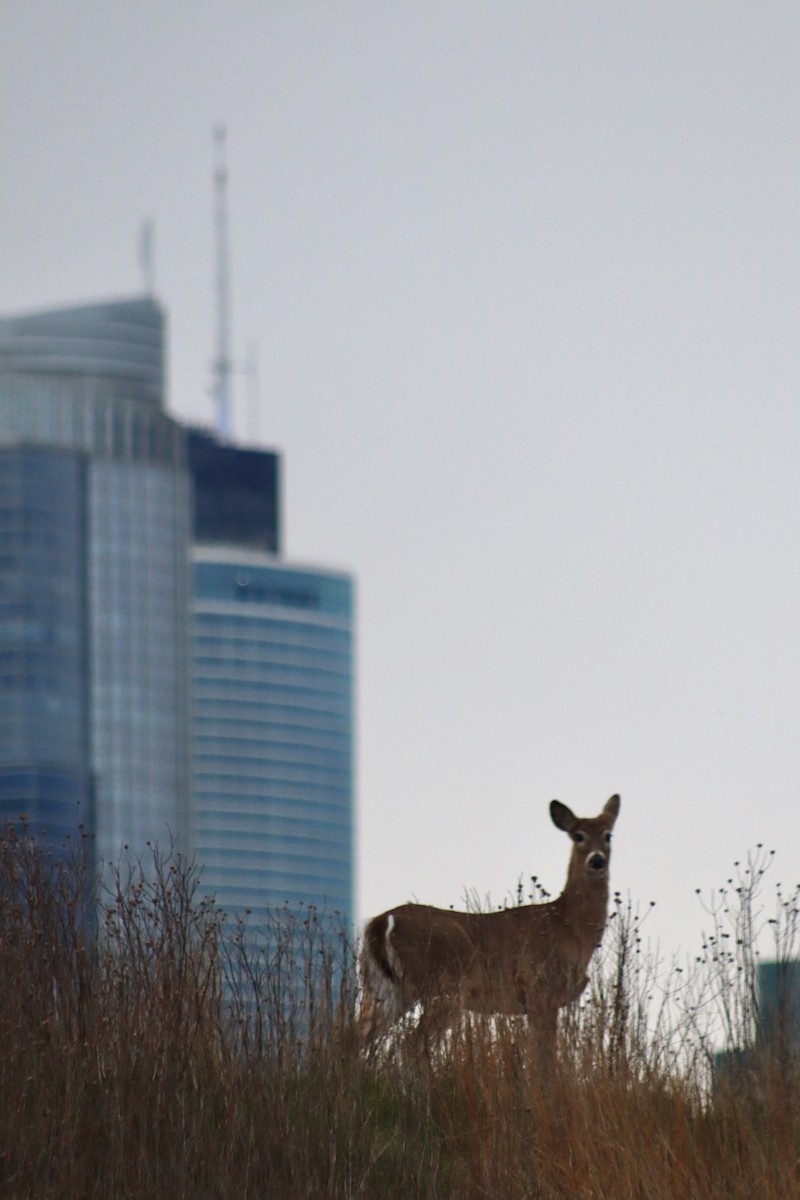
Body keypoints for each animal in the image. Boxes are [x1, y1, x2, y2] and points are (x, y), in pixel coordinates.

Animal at [359, 794, 620, 1051]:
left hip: (383, 990)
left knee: (356, 1036)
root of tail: (380, 923)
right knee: (410, 1043)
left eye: (608, 835)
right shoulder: (540, 989)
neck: (568, 926)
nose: (596, 860)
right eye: (579, 836)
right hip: (444, 985)